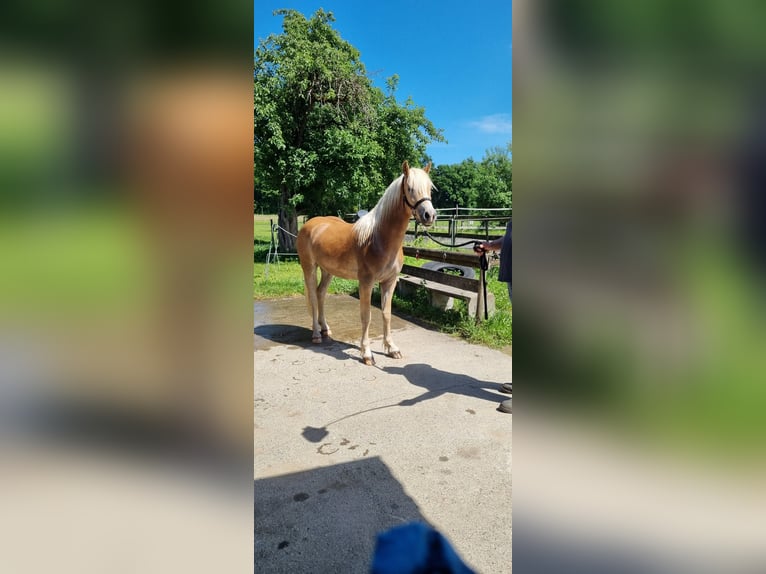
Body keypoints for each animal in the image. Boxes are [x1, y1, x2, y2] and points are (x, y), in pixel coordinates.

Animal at [297, 161, 437, 365]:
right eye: (410, 188)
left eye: (429, 189)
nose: (429, 215)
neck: (378, 238)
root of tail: (310, 224)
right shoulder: (366, 282)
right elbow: (366, 316)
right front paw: (367, 354)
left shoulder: (389, 282)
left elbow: (386, 314)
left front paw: (392, 349)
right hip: (310, 267)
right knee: (314, 298)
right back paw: (316, 334)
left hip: (328, 270)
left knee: (320, 294)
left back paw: (325, 329)